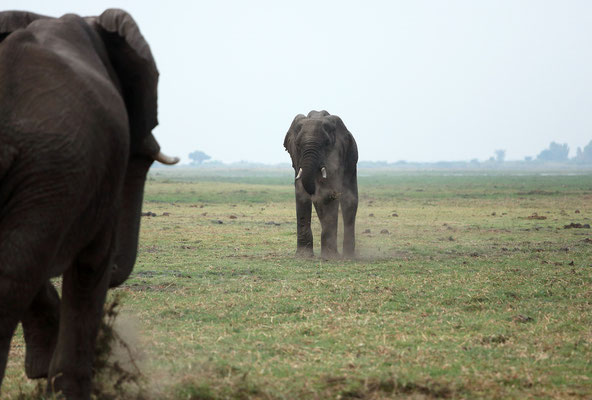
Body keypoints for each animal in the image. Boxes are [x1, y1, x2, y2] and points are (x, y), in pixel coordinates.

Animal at [284, 111, 358, 258]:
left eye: (326, 143)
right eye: (298, 144)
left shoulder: (337, 156)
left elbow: (328, 195)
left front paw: (330, 257)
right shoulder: (297, 160)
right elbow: (301, 194)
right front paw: (303, 257)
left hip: (352, 160)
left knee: (350, 202)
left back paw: (348, 256)